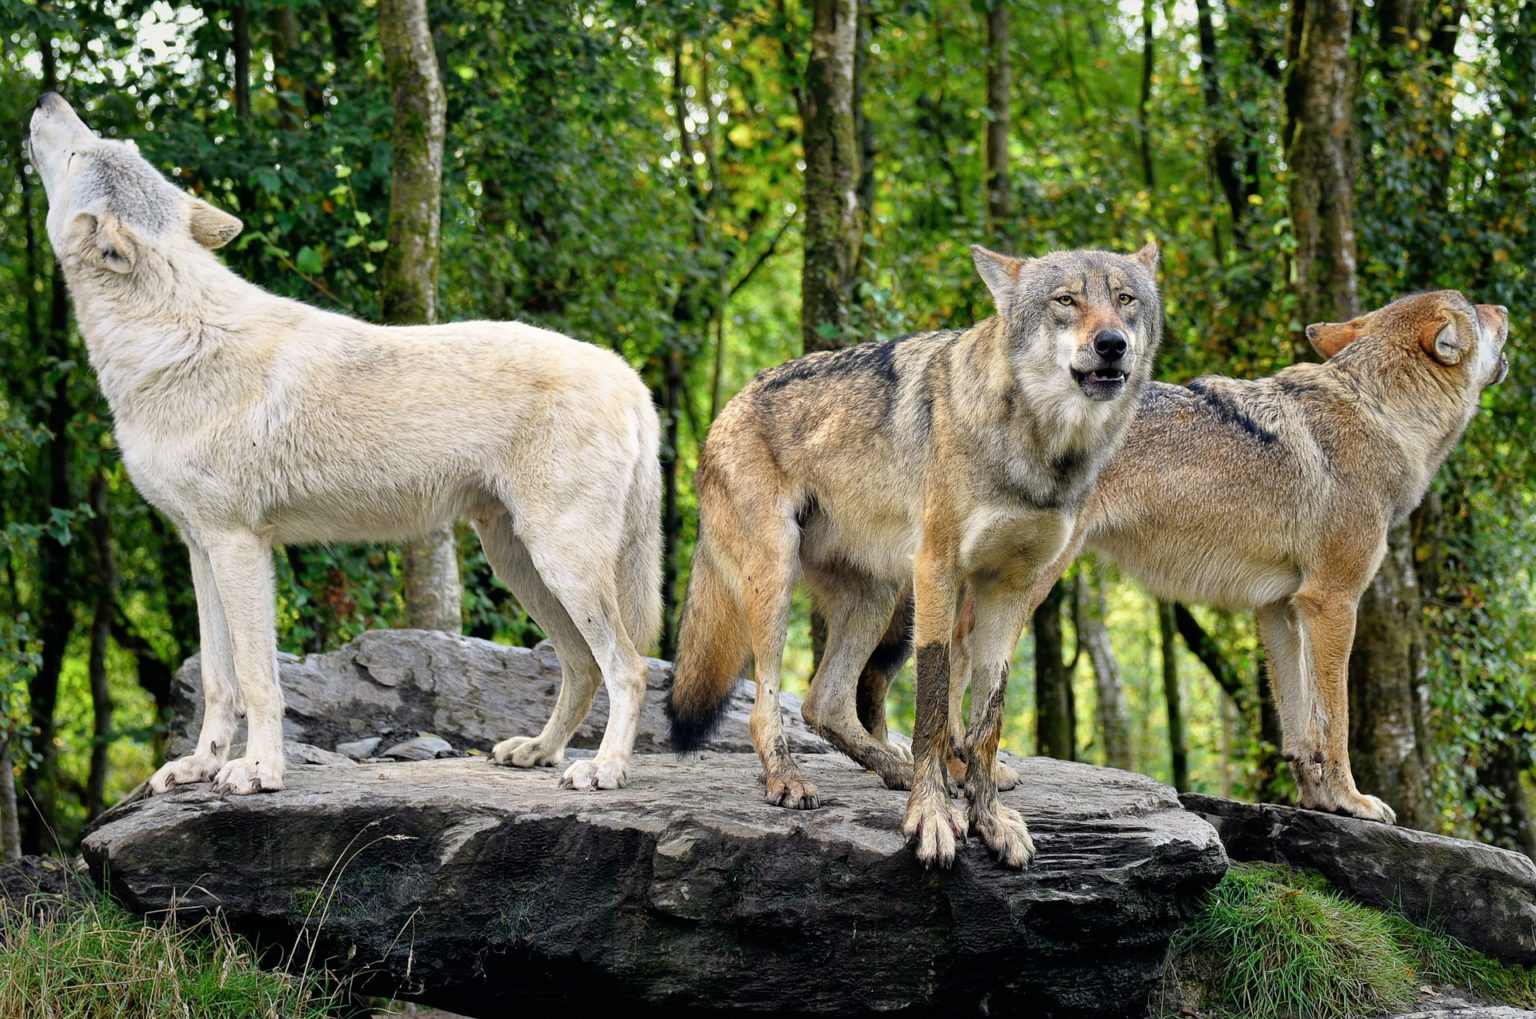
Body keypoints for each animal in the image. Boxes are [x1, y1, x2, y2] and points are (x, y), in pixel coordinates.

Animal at [25, 93, 660, 799]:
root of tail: (626, 373)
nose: (47, 99)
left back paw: (604, 768)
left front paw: (257, 771)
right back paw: (540, 751)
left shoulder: (240, 547)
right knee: (582, 666)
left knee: (628, 668)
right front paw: (200, 766)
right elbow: (219, 681)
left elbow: (258, 681)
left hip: (561, 564)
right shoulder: (200, 547)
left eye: (82, 150)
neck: (171, 338)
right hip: (519, 564)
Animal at [669, 241, 1161, 866]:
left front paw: (987, 817)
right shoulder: (938, 570)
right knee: (768, 704)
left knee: (824, 703)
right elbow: (933, 702)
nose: (1112, 343)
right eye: (1066, 300)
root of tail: (725, 410)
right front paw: (931, 815)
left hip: (876, 600)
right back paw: (790, 780)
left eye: (1125, 299)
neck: (1040, 450)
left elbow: (987, 718)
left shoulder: (1012, 588)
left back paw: (895, 770)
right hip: (780, 582)